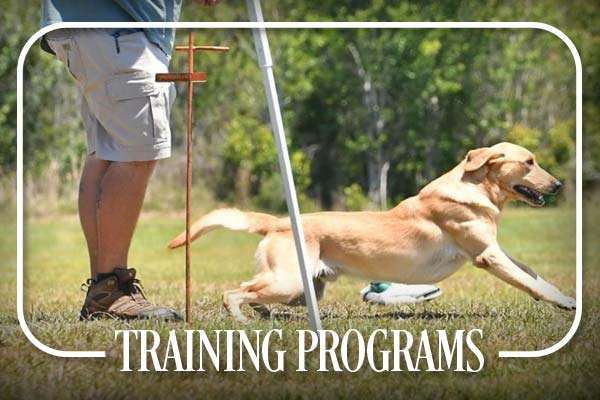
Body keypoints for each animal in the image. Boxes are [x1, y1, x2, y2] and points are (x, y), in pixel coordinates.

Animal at [168, 141, 576, 322]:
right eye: (529, 162)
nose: (559, 184)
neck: (475, 187)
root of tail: (279, 221)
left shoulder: (498, 250)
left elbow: (534, 275)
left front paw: (566, 297)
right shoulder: (486, 255)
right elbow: (530, 283)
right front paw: (565, 305)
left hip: (301, 287)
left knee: (251, 291)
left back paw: (264, 315)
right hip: (288, 281)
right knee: (233, 292)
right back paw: (243, 321)